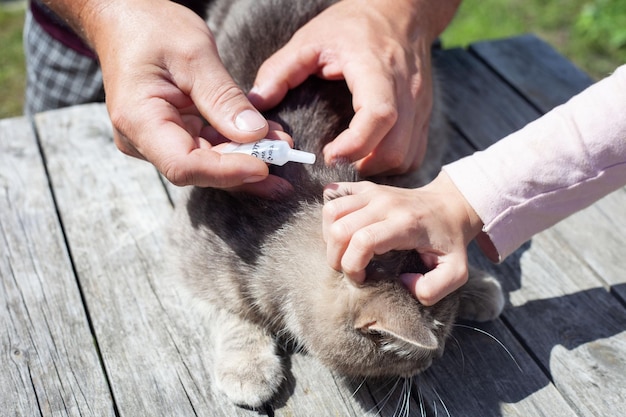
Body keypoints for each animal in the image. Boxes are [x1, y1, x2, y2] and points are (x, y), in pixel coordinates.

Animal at [169, 0, 502, 410]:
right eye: (422, 353)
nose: (435, 358)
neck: (287, 209)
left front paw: (477, 285)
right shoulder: (189, 254)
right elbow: (231, 314)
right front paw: (246, 368)